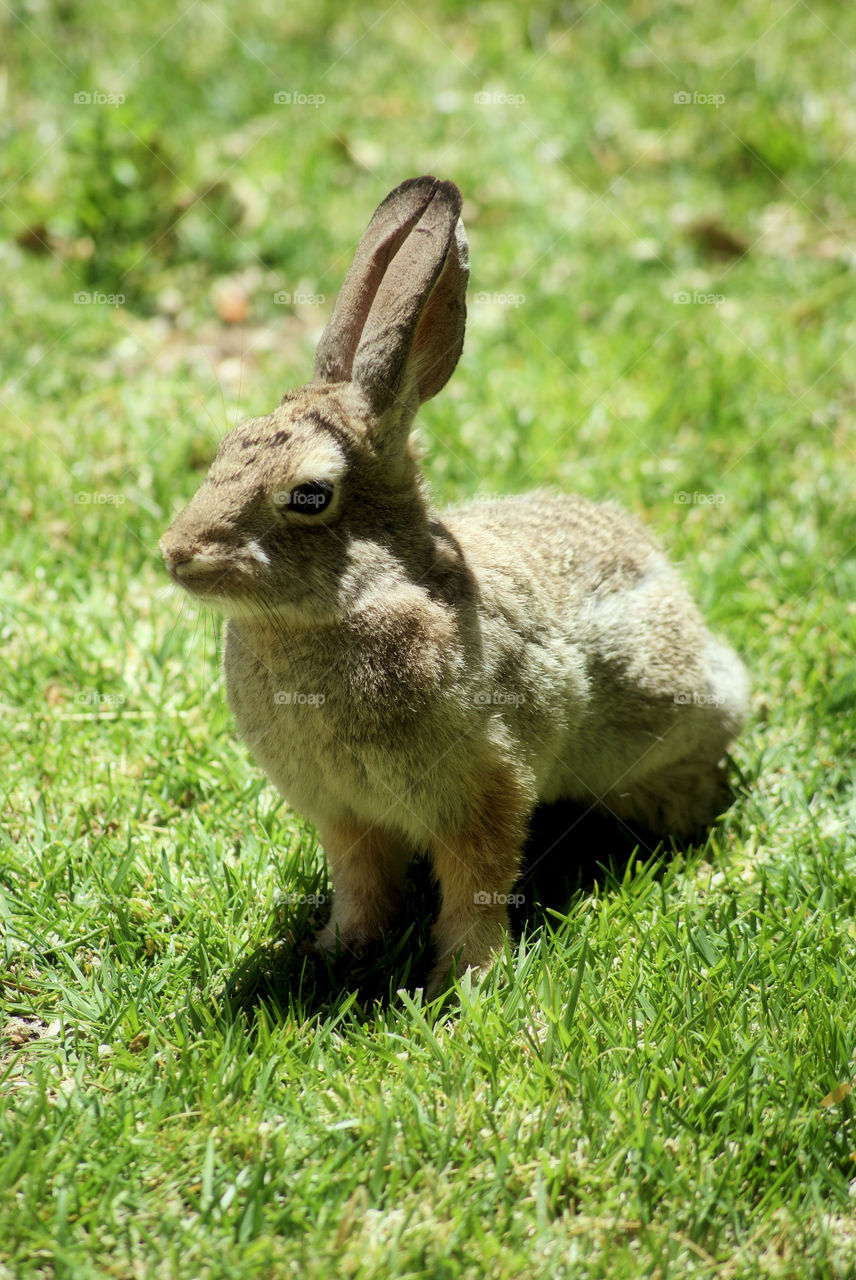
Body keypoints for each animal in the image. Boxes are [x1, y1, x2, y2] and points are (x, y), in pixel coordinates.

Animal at [159, 175, 749, 999]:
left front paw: (464, 981)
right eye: (223, 450)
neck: (352, 603)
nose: (175, 554)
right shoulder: (345, 813)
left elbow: (477, 881)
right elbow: (361, 881)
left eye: (309, 496)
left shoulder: (485, 786)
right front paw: (340, 949)